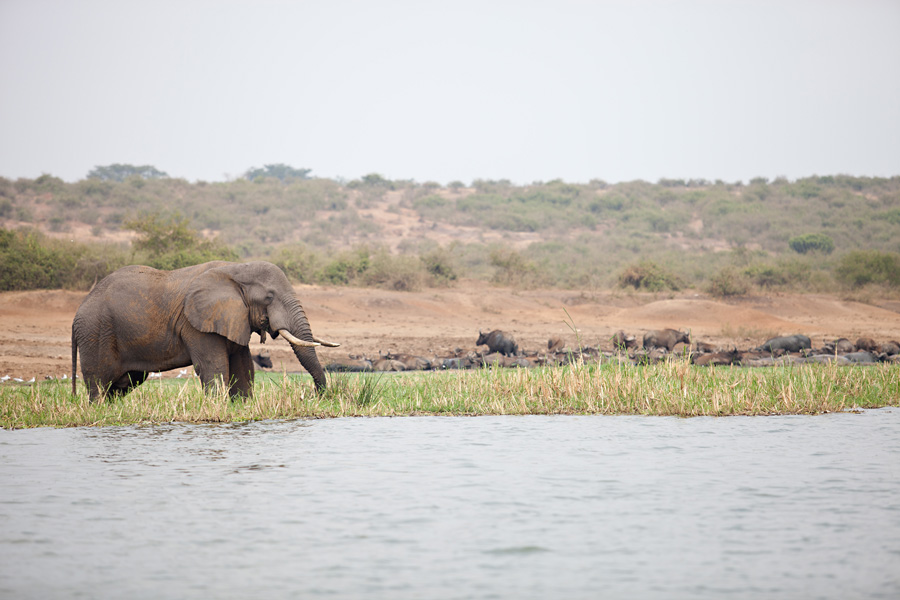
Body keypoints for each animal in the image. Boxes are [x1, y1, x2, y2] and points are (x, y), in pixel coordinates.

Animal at [72, 261, 338, 400]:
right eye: (269, 297)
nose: (315, 396)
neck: (236, 269)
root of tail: (78, 314)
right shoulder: (196, 324)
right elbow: (215, 368)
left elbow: (243, 368)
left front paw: (242, 406)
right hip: (95, 333)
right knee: (99, 383)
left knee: (122, 385)